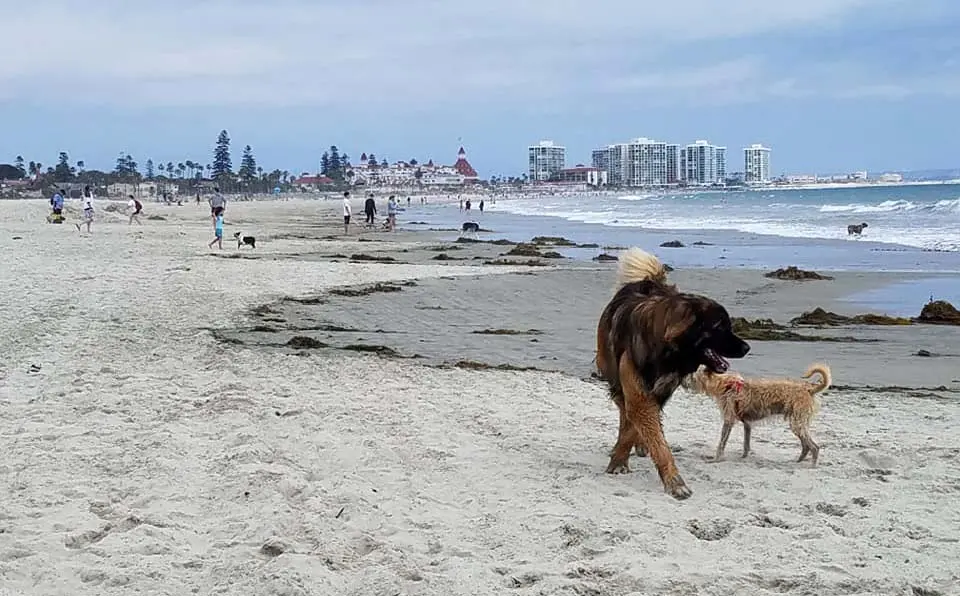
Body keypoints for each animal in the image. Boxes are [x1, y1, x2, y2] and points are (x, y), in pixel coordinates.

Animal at [592, 247, 752, 498]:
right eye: (720, 326)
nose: (747, 348)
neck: (667, 353)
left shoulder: (660, 392)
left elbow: (641, 429)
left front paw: (624, 455)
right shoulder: (638, 391)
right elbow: (645, 430)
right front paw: (672, 480)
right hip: (612, 372)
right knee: (623, 408)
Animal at [684, 364, 832, 466]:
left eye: (692, 375)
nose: (683, 383)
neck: (724, 384)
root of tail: (808, 389)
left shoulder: (728, 421)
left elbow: (721, 443)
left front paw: (716, 459)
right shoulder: (747, 424)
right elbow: (746, 444)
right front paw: (743, 457)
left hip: (797, 424)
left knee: (814, 447)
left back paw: (811, 465)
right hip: (798, 423)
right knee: (806, 446)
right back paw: (799, 460)